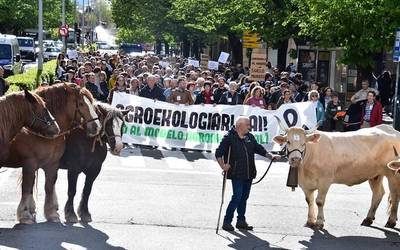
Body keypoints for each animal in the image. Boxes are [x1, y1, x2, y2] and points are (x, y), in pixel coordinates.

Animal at [2, 83, 101, 224]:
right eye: (81, 103)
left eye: (92, 103)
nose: (96, 126)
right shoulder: (29, 164)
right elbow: (27, 187)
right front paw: (25, 214)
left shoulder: (52, 164)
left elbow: (49, 186)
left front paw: (51, 214)